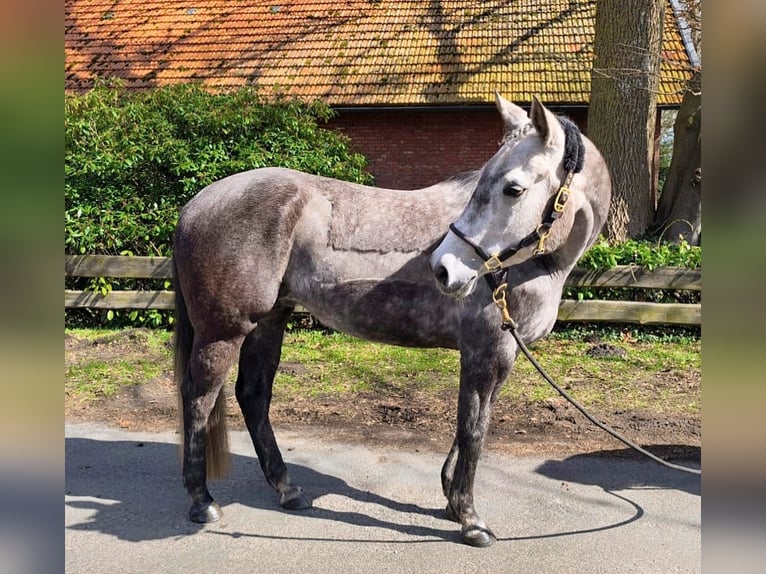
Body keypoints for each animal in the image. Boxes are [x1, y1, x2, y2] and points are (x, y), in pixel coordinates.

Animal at [172, 93, 611, 547]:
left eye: (513, 188)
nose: (444, 270)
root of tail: (196, 206)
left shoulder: (499, 355)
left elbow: (472, 422)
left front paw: (452, 502)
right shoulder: (487, 351)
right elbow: (473, 428)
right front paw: (471, 519)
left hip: (269, 320)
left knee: (254, 395)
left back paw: (288, 489)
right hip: (223, 332)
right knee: (199, 398)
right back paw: (203, 501)